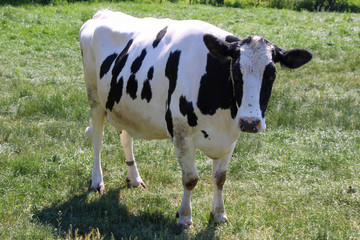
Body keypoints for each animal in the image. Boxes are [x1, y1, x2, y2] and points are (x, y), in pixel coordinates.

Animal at [79, 10, 312, 228]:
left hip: (125, 108)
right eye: (235, 72)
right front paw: (184, 217)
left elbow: (220, 178)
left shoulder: (230, 139)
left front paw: (219, 214)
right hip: (94, 96)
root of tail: (103, 12)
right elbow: (190, 179)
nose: (250, 122)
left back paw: (135, 178)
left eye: (272, 75)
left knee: (126, 138)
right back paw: (97, 181)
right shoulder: (182, 135)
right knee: (97, 139)